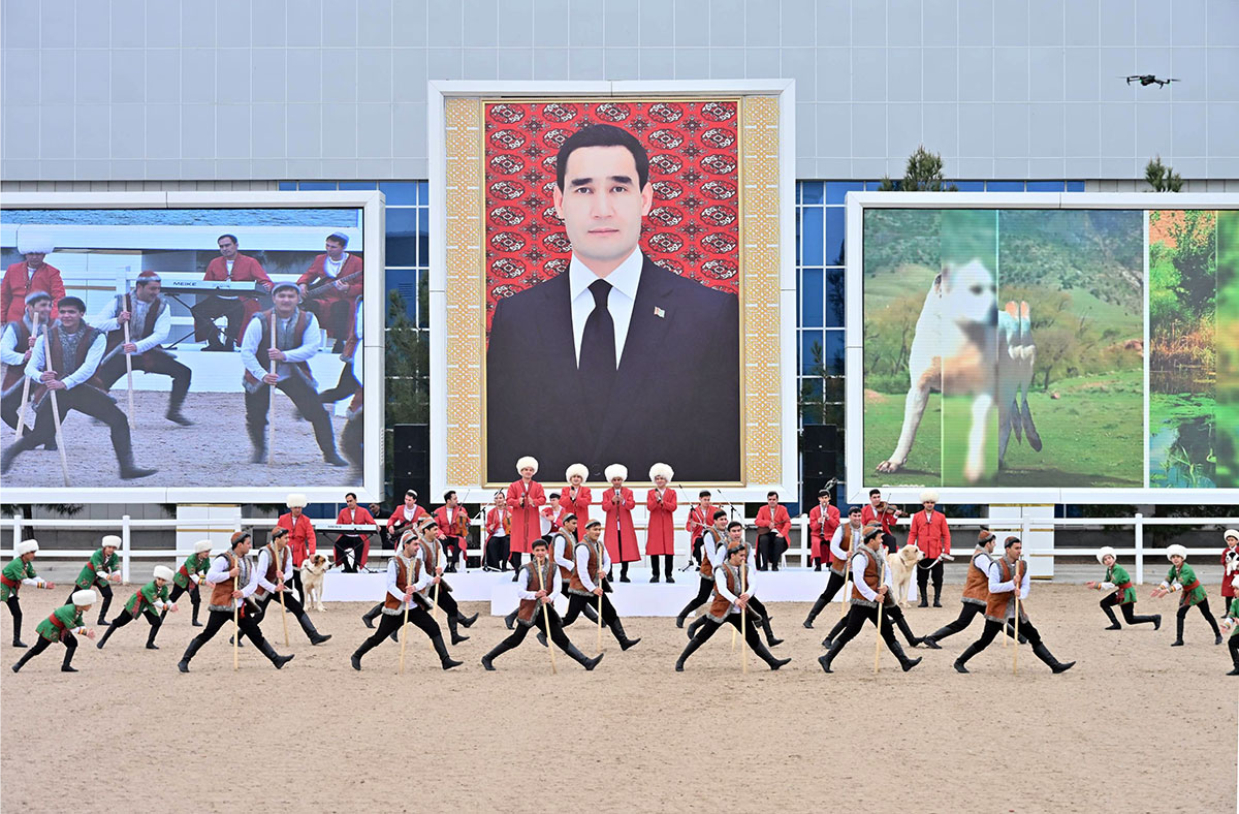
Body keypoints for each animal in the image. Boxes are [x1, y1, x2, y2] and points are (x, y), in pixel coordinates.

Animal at [877, 259, 1042, 483]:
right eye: (975, 289)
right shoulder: (919, 387)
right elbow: (908, 429)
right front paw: (893, 462)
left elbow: (978, 432)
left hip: (1007, 384)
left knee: (1005, 423)